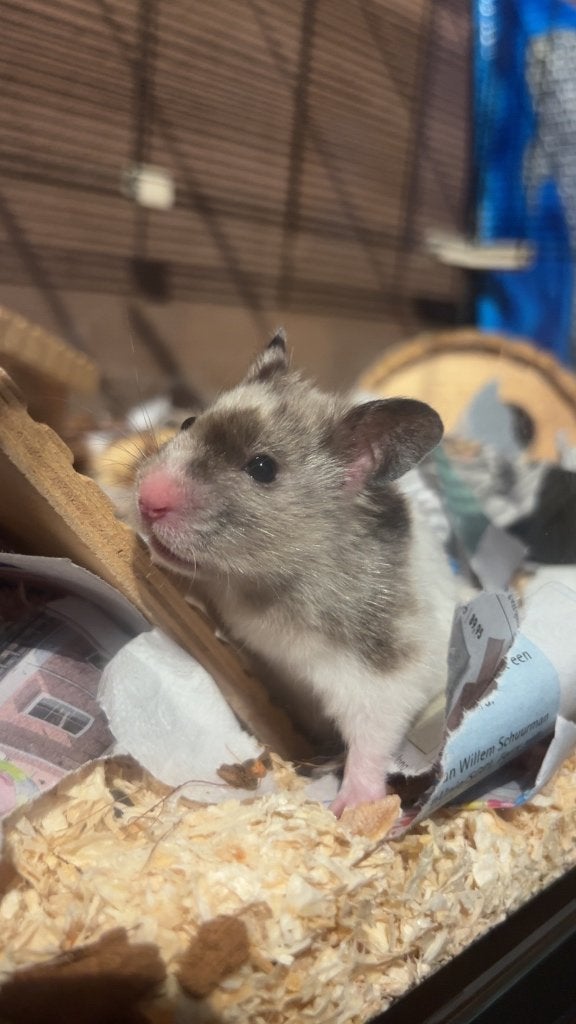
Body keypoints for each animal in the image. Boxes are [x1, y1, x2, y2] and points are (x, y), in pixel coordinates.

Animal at [134, 332, 455, 815]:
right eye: (188, 422)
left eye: (263, 468)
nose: (147, 499)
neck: (267, 582)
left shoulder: (382, 676)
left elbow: (371, 741)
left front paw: (346, 811)